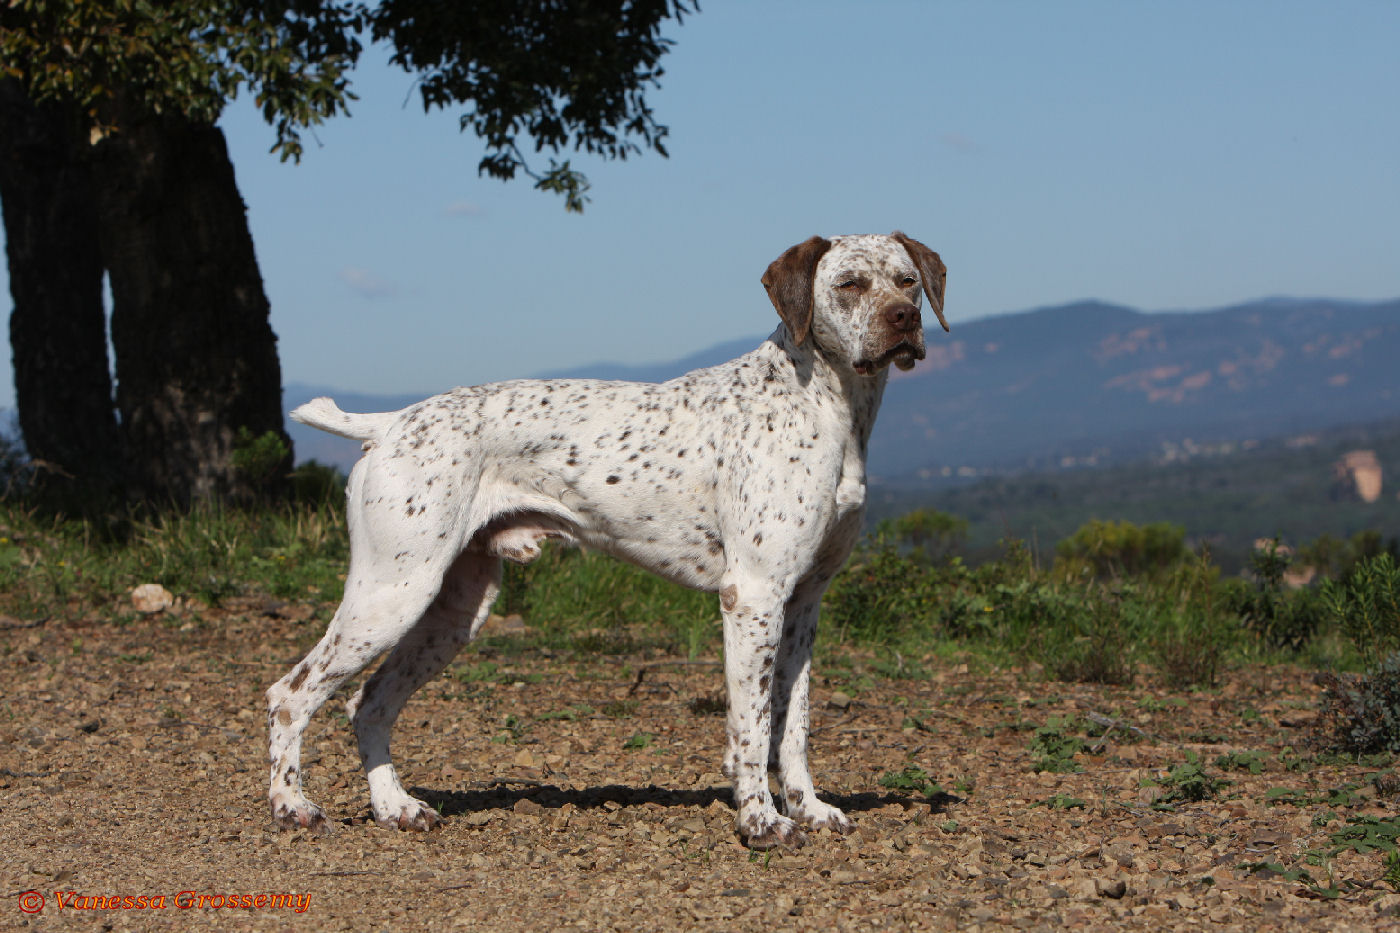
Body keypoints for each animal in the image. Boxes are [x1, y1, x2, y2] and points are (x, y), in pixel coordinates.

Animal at [267, 231, 946, 840]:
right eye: (849, 284)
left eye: (908, 280)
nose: (906, 319)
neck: (825, 404)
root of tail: (389, 424)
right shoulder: (753, 597)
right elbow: (752, 728)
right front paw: (760, 820)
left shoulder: (804, 604)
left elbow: (794, 727)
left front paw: (808, 808)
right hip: (392, 593)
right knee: (290, 694)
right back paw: (292, 807)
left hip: (453, 613)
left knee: (369, 704)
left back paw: (395, 808)